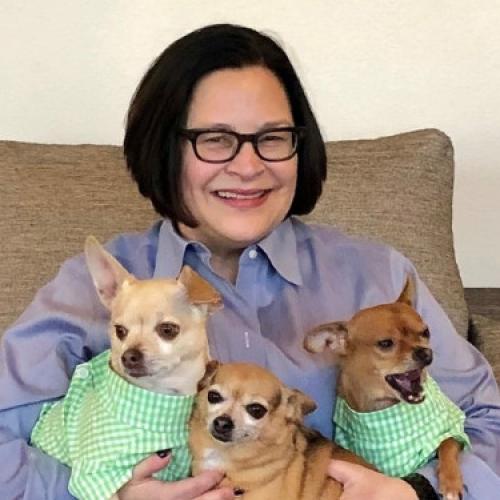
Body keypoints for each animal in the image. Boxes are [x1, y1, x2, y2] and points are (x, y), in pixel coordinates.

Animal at [304, 277, 469, 500]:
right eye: (385, 343)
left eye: (426, 332)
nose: (426, 353)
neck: (383, 410)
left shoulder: (453, 427)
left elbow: (448, 443)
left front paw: (451, 482)